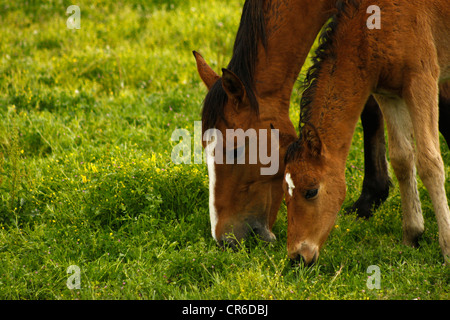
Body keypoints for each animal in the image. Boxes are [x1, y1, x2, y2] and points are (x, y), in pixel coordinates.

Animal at [284, 0, 450, 264]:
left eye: (311, 191)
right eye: (284, 195)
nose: (297, 257)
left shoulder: (422, 78)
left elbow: (430, 162)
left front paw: (447, 249)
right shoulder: (388, 92)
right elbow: (402, 159)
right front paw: (412, 235)